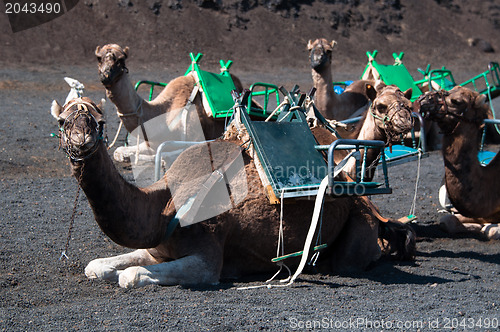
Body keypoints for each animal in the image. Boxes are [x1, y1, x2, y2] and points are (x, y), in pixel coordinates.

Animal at [52, 96, 416, 288]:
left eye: (99, 122)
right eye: (62, 122)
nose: (81, 139)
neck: (164, 205)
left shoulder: (207, 260)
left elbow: (130, 276)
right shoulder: (159, 250)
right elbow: (97, 266)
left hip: (355, 234)